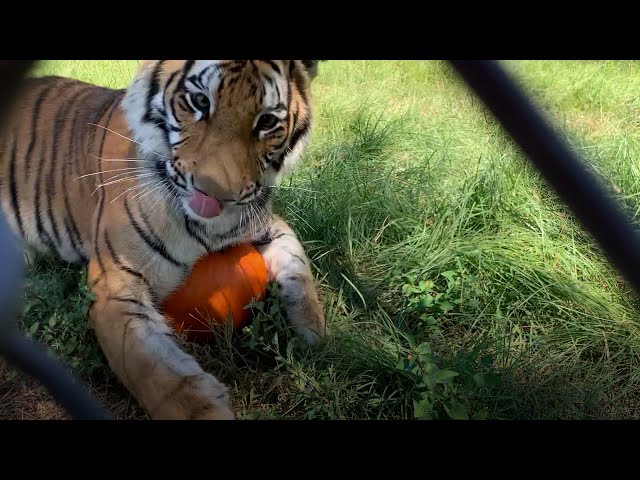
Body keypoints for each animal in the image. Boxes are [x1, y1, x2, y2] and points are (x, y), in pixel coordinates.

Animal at [0, 60, 328, 420]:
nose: (213, 195)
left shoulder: (271, 225)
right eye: (199, 101)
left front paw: (318, 336)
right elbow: (152, 368)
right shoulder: (116, 286)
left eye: (267, 121)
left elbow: (299, 275)